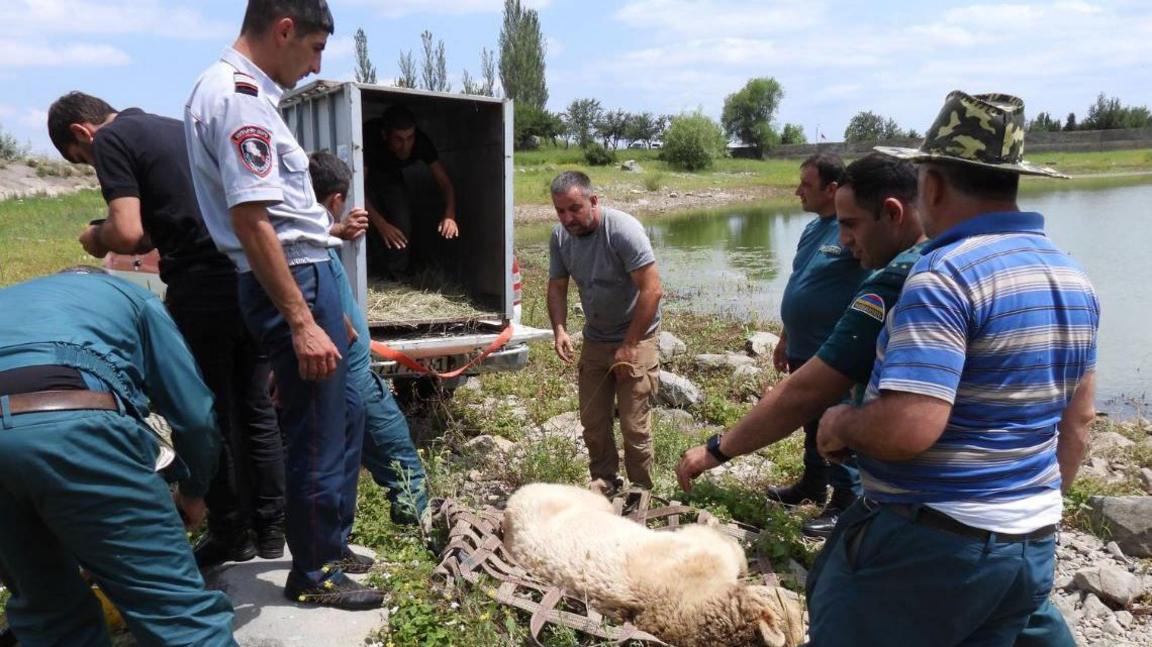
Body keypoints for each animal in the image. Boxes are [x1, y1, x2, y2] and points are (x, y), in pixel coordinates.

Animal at [499, 481, 806, 640]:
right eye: (801, 618)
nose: (802, 599)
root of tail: (511, 504)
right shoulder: (696, 561)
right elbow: (719, 544)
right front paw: (713, 521)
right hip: (559, 499)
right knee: (595, 501)